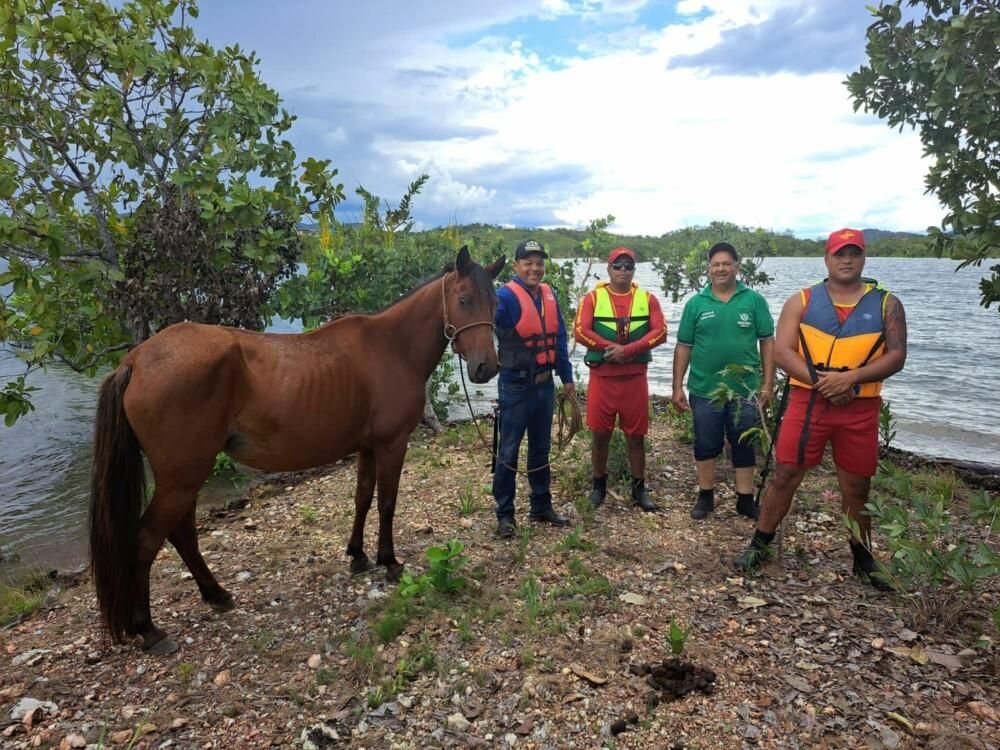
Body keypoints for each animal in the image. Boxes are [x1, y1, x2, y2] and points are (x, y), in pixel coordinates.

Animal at [90, 247, 504, 652]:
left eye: (495, 303)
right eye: (464, 300)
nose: (487, 368)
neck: (392, 347)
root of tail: (135, 360)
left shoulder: (368, 448)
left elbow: (362, 499)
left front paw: (358, 556)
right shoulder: (391, 444)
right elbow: (386, 502)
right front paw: (389, 561)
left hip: (185, 475)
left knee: (182, 534)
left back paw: (216, 595)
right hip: (183, 475)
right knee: (148, 539)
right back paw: (148, 629)